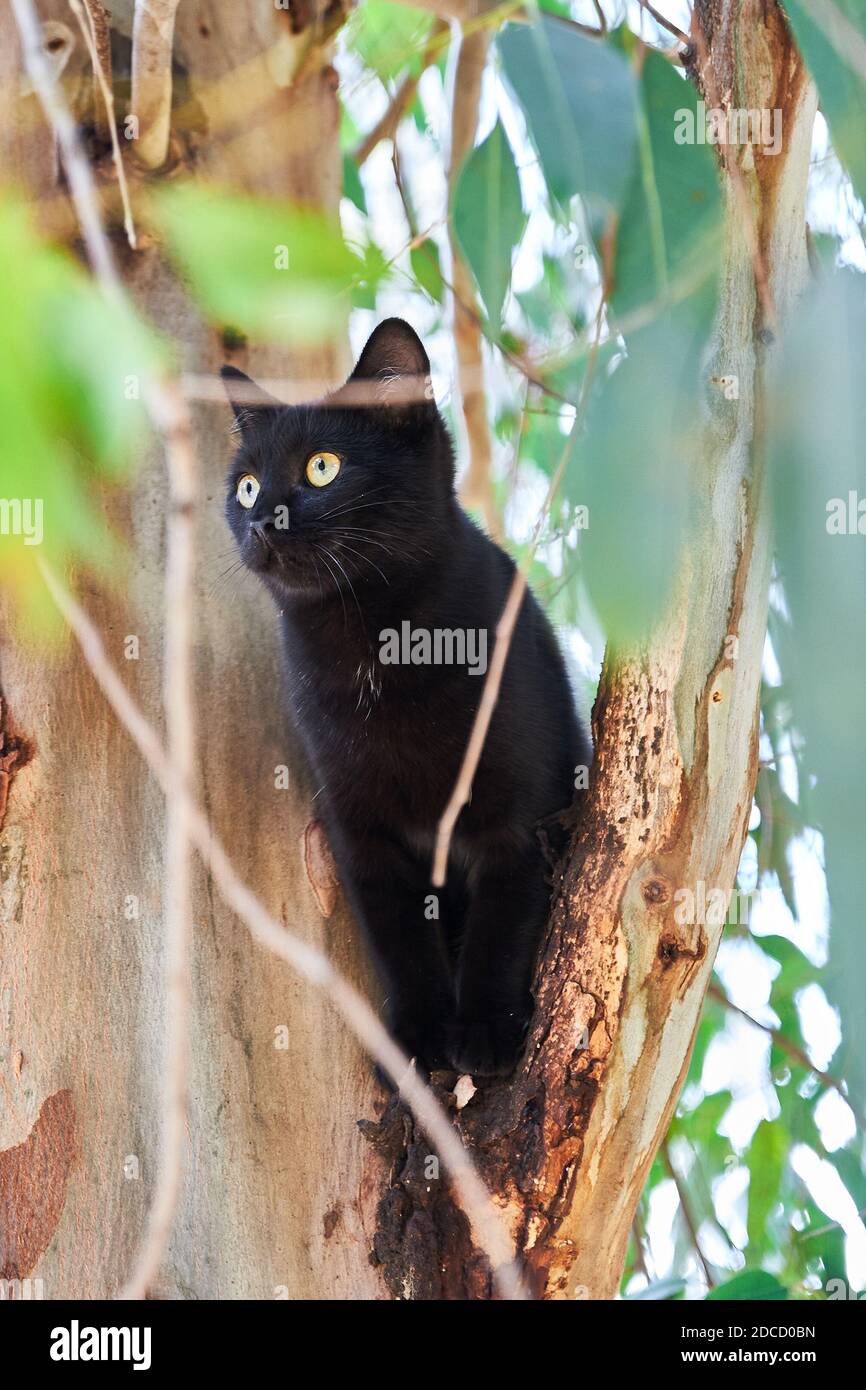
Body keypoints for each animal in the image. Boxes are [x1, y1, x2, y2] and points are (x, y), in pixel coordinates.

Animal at [223, 322, 589, 1073]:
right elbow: (399, 939)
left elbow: (502, 925)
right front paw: (420, 1040)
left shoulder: (521, 814)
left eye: (322, 468)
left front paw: (485, 1029)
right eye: (245, 486)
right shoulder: (361, 829)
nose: (262, 521)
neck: (373, 644)